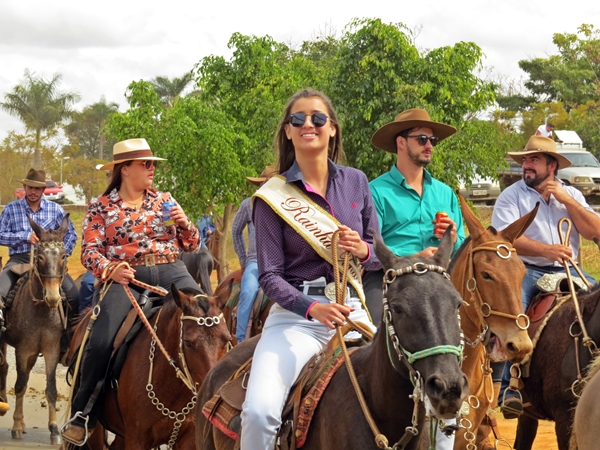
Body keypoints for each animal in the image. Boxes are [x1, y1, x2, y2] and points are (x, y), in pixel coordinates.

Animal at [0, 216, 71, 444]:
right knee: (5, 369)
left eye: (64, 256)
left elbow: (51, 389)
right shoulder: (22, 350)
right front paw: (15, 426)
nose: (53, 297)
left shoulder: (51, 349)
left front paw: (54, 429)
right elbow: (20, 385)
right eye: (40, 257)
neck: (41, 310)